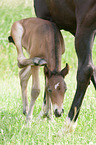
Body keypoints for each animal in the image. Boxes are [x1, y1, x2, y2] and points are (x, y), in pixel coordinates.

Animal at [34, 0, 96, 131]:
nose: (58, 112)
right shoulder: (73, 27)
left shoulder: (46, 19)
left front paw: (46, 112)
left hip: (85, 25)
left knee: (86, 69)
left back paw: (68, 126)